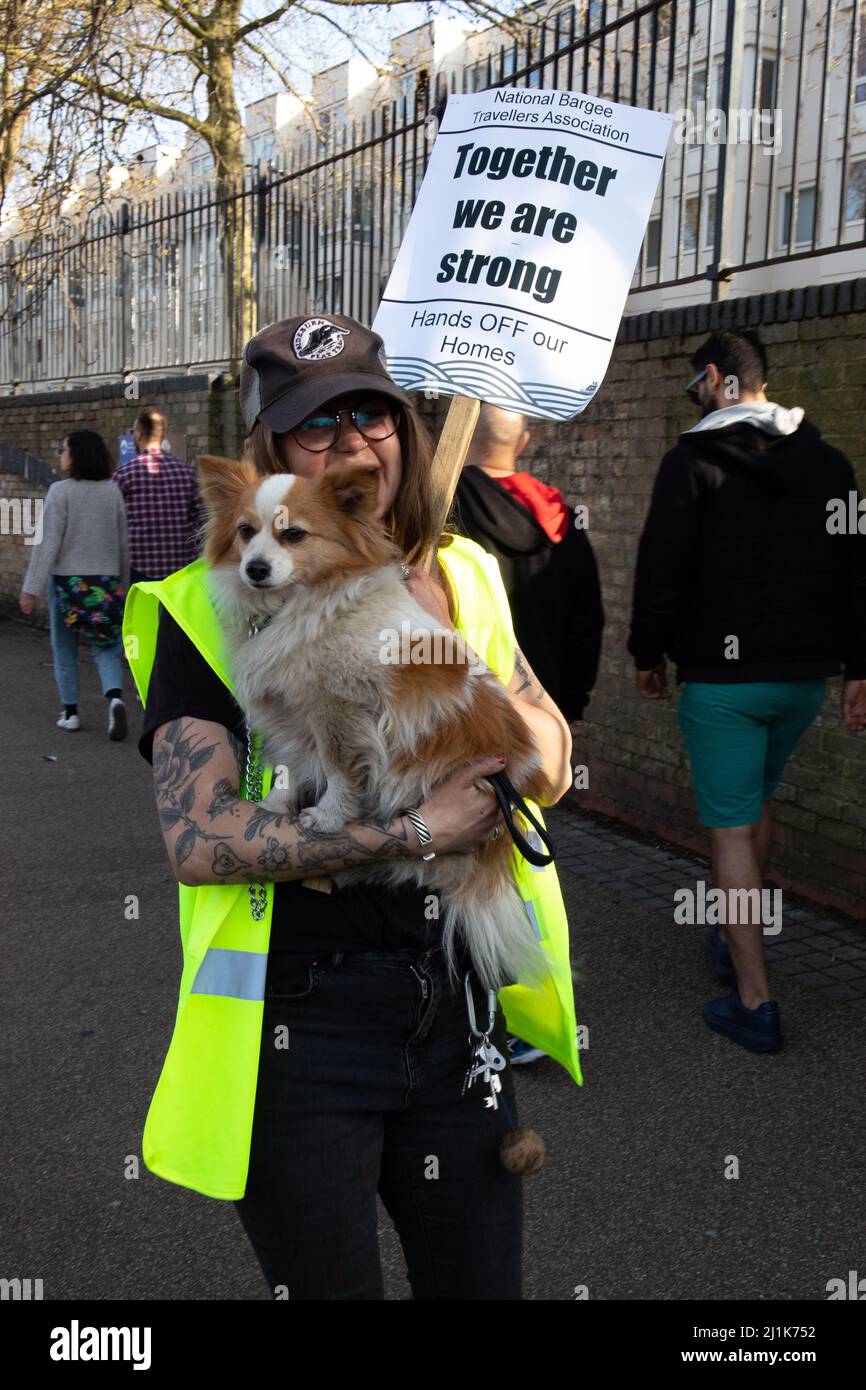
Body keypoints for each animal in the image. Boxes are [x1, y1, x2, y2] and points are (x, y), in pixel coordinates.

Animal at [198, 453, 547, 989]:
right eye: (244, 531)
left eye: (293, 535)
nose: (255, 568)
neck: (299, 608)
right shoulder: (294, 715)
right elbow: (294, 766)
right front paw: (276, 806)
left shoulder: (340, 713)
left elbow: (340, 772)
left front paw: (327, 818)